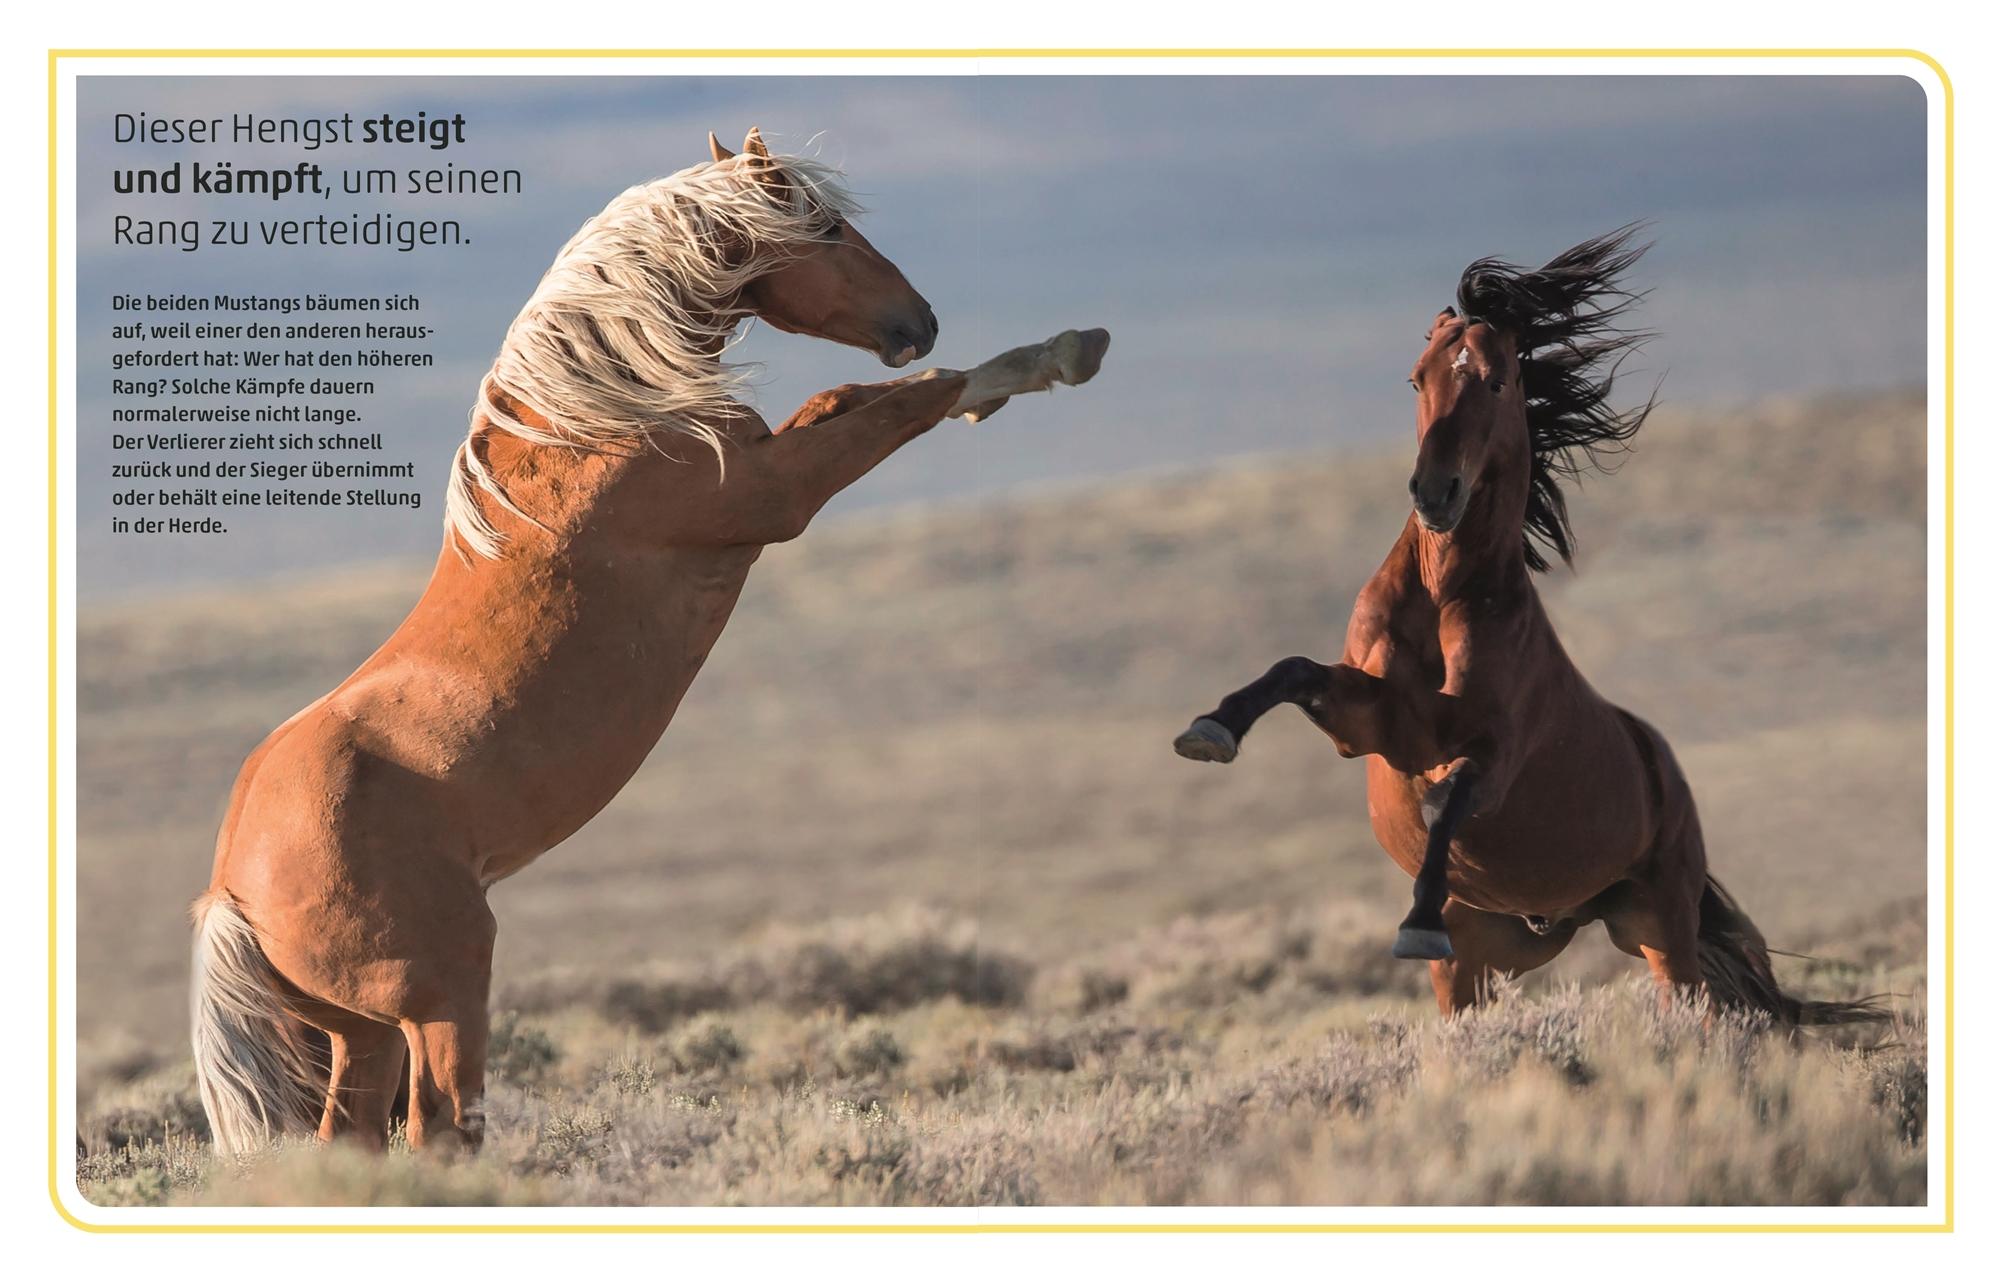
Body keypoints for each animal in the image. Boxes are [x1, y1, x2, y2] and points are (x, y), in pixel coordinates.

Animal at [190, 127, 1111, 1155]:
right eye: (828, 229)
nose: (921, 320)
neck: (592, 422)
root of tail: (233, 892)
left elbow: (851, 397)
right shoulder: (778, 496)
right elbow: (911, 401)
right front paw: (1059, 356)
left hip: (364, 1032)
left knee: (353, 1140)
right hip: (441, 996)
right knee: (442, 1128)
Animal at [1173, 228, 1881, 1027]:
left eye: (1497, 381)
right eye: (1416, 380)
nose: (1434, 494)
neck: (1445, 596)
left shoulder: (1489, 755)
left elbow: (1446, 798)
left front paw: (1417, 919)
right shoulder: (1373, 725)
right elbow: (1292, 671)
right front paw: (1209, 730)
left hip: (1661, 931)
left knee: (1694, 1004)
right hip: (1488, 959)